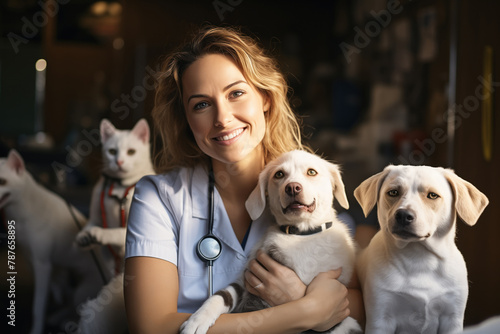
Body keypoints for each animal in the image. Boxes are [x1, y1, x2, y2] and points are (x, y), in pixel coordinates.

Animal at [0, 150, 105, 334]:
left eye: (2, 181)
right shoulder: (32, 260)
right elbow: (51, 288)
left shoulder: (42, 264)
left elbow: (38, 306)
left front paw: (36, 329)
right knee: (68, 300)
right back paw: (59, 315)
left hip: (81, 291)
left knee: (77, 307)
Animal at [182, 151, 362, 334]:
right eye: (279, 174)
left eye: (312, 172)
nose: (292, 187)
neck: (300, 234)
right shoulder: (244, 281)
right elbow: (220, 296)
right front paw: (197, 319)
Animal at [356, 165, 488, 334]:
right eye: (393, 192)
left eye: (432, 195)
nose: (403, 215)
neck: (419, 259)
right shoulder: (380, 316)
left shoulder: (452, 317)